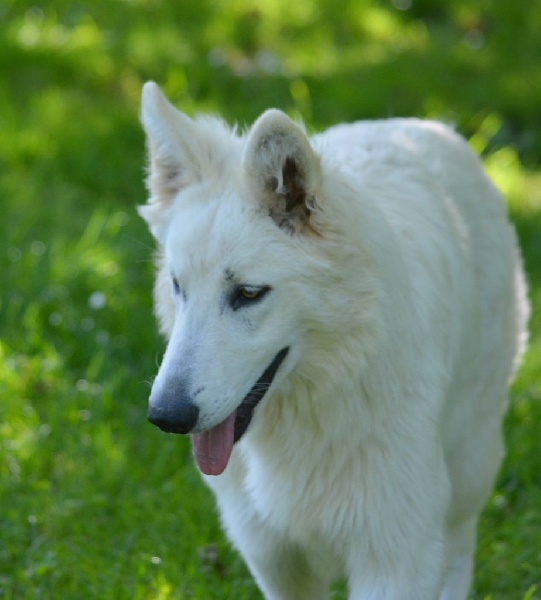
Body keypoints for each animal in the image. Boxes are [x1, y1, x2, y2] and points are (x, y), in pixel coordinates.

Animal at [138, 81, 528, 600]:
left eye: (248, 293)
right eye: (178, 286)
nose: (166, 417)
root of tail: (426, 126)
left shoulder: (394, 558)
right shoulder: (275, 560)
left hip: (469, 465)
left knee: (459, 544)